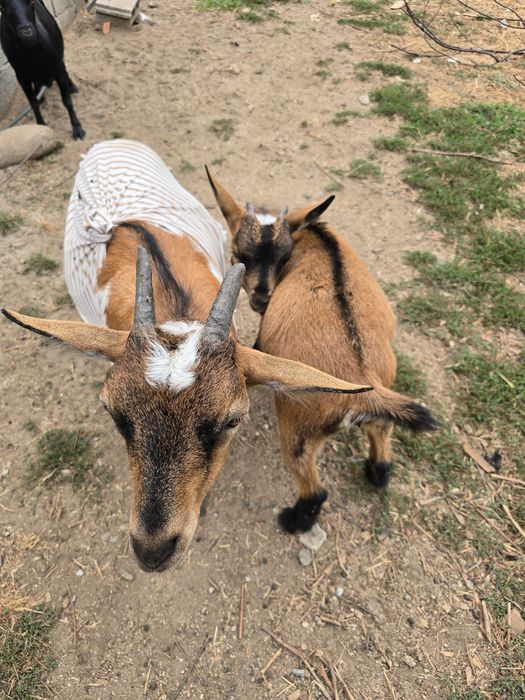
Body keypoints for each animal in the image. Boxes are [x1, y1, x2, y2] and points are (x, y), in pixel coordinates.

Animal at [0, 0, 84, 139]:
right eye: (3, 6)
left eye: (31, 2)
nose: (27, 32)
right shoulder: (21, 78)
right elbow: (33, 104)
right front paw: (41, 126)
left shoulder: (57, 68)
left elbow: (67, 101)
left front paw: (77, 128)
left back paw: (71, 86)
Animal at [207, 171, 438, 534]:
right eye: (240, 252)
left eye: (282, 257)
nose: (261, 296)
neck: (312, 235)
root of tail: (366, 385)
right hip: (383, 401)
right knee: (382, 447)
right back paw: (375, 473)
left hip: (299, 429)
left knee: (314, 489)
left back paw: (292, 521)